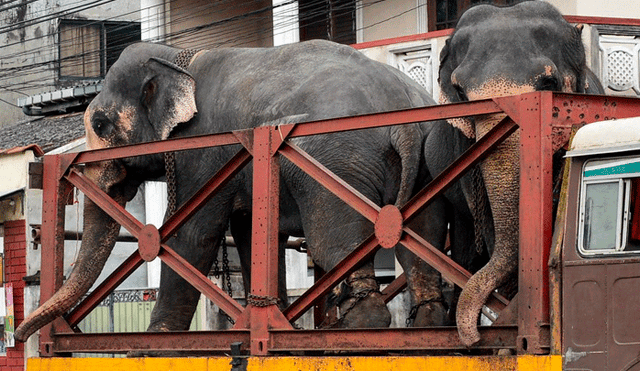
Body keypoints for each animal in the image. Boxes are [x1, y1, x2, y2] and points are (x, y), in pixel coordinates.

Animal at [15, 37, 490, 342]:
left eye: (99, 125)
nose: (20, 337)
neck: (178, 58)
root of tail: (401, 118)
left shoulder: (203, 147)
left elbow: (193, 232)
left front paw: (157, 340)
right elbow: (249, 232)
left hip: (336, 160)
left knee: (336, 237)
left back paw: (357, 327)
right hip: (426, 161)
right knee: (422, 233)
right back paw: (426, 323)